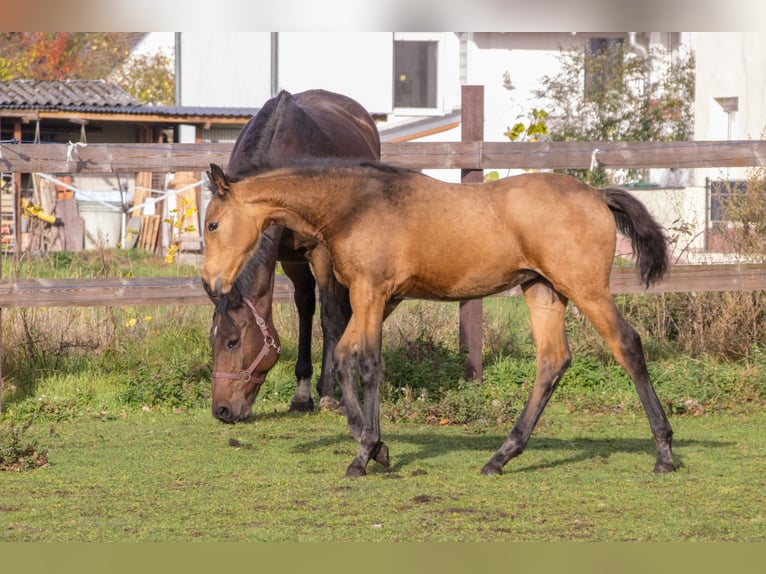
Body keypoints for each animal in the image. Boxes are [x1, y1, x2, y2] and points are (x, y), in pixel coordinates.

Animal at [201, 160, 675, 478]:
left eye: (212, 224)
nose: (209, 281)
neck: (354, 206)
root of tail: (598, 195)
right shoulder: (379, 299)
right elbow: (343, 357)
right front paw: (375, 446)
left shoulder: (371, 293)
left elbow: (367, 363)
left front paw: (365, 451)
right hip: (542, 290)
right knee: (552, 361)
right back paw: (500, 457)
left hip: (585, 289)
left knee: (626, 344)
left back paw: (664, 452)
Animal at [208, 89, 380, 424]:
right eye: (212, 341)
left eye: (233, 342)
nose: (221, 410)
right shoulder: (289, 257)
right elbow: (304, 308)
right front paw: (302, 394)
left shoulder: (321, 252)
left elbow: (329, 317)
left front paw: (328, 393)